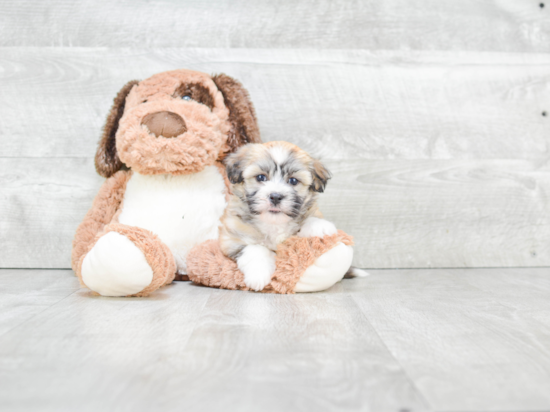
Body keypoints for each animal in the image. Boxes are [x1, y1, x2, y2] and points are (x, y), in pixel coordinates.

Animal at [219, 143, 366, 292]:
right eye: (260, 177)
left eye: (293, 180)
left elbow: (311, 217)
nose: (276, 196)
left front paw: (320, 226)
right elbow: (255, 249)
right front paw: (258, 275)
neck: (273, 222)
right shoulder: (232, 239)